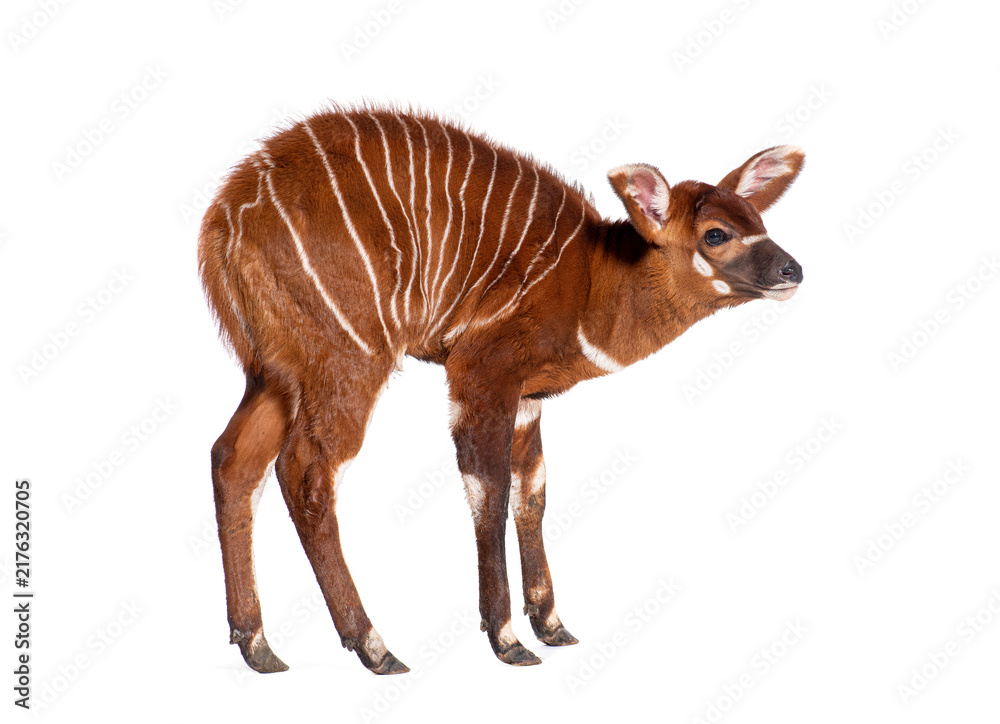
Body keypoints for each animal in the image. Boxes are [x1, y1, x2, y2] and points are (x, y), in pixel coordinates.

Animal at [198, 105, 804, 675]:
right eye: (716, 234)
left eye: (758, 219)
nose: (792, 270)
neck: (593, 282)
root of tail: (224, 221)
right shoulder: (482, 371)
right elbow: (487, 491)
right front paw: (508, 640)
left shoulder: (527, 398)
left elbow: (531, 494)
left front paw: (553, 626)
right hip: (349, 359)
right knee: (306, 471)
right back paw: (374, 646)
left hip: (274, 373)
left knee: (233, 459)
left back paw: (257, 645)